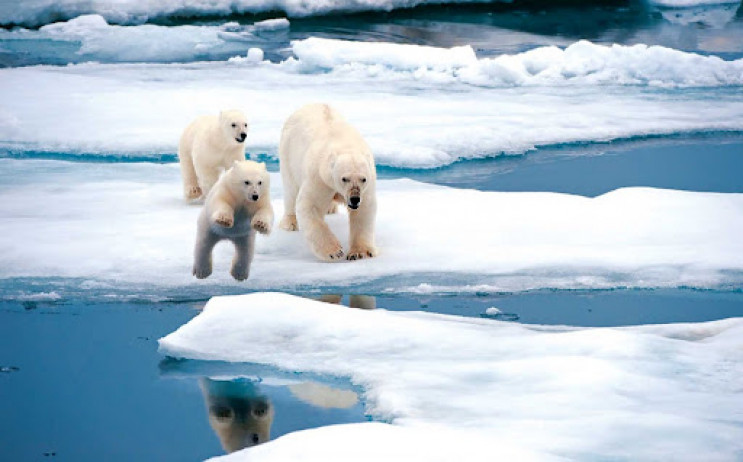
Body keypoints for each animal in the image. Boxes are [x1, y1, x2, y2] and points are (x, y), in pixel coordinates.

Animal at [280, 105, 378, 264]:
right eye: (344, 178)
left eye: (363, 179)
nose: (354, 199)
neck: (345, 145)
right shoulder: (319, 177)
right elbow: (310, 204)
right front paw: (334, 252)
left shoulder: (368, 185)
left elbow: (364, 210)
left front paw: (360, 253)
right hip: (288, 152)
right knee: (291, 189)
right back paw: (290, 223)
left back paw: (330, 209)